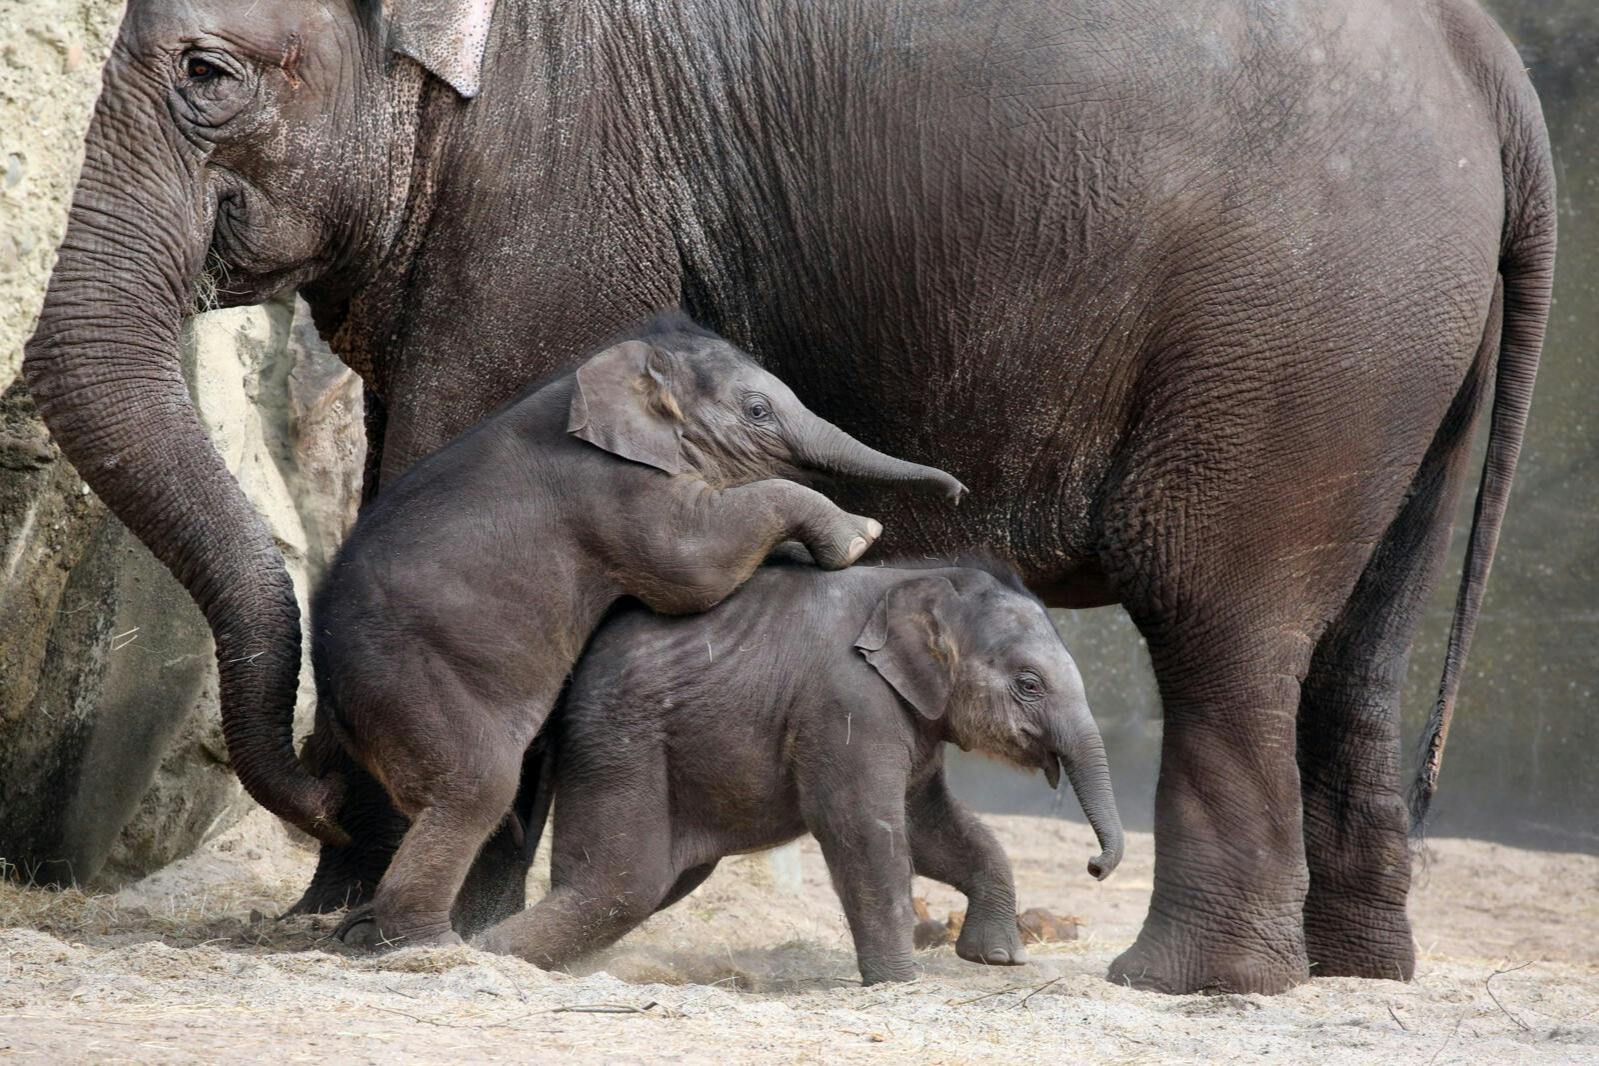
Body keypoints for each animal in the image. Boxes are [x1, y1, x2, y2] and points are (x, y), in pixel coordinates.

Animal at [309, 313, 962, 947]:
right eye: (758, 410)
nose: (958, 490)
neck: (611, 376)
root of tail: (331, 689)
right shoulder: (616, 491)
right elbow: (693, 568)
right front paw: (860, 539)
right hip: (409, 679)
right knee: (477, 786)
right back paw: (434, 946)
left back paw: (364, 932)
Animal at [476, 555, 1124, 985]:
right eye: (1029, 684)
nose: (1095, 866)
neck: (921, 579)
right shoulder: (848, 702)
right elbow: (863, 826)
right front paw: (899, 983)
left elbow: (929, 825)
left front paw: (995, 961)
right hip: (619, 739)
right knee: (620, 884)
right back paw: (473, 953)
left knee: (649, 884)